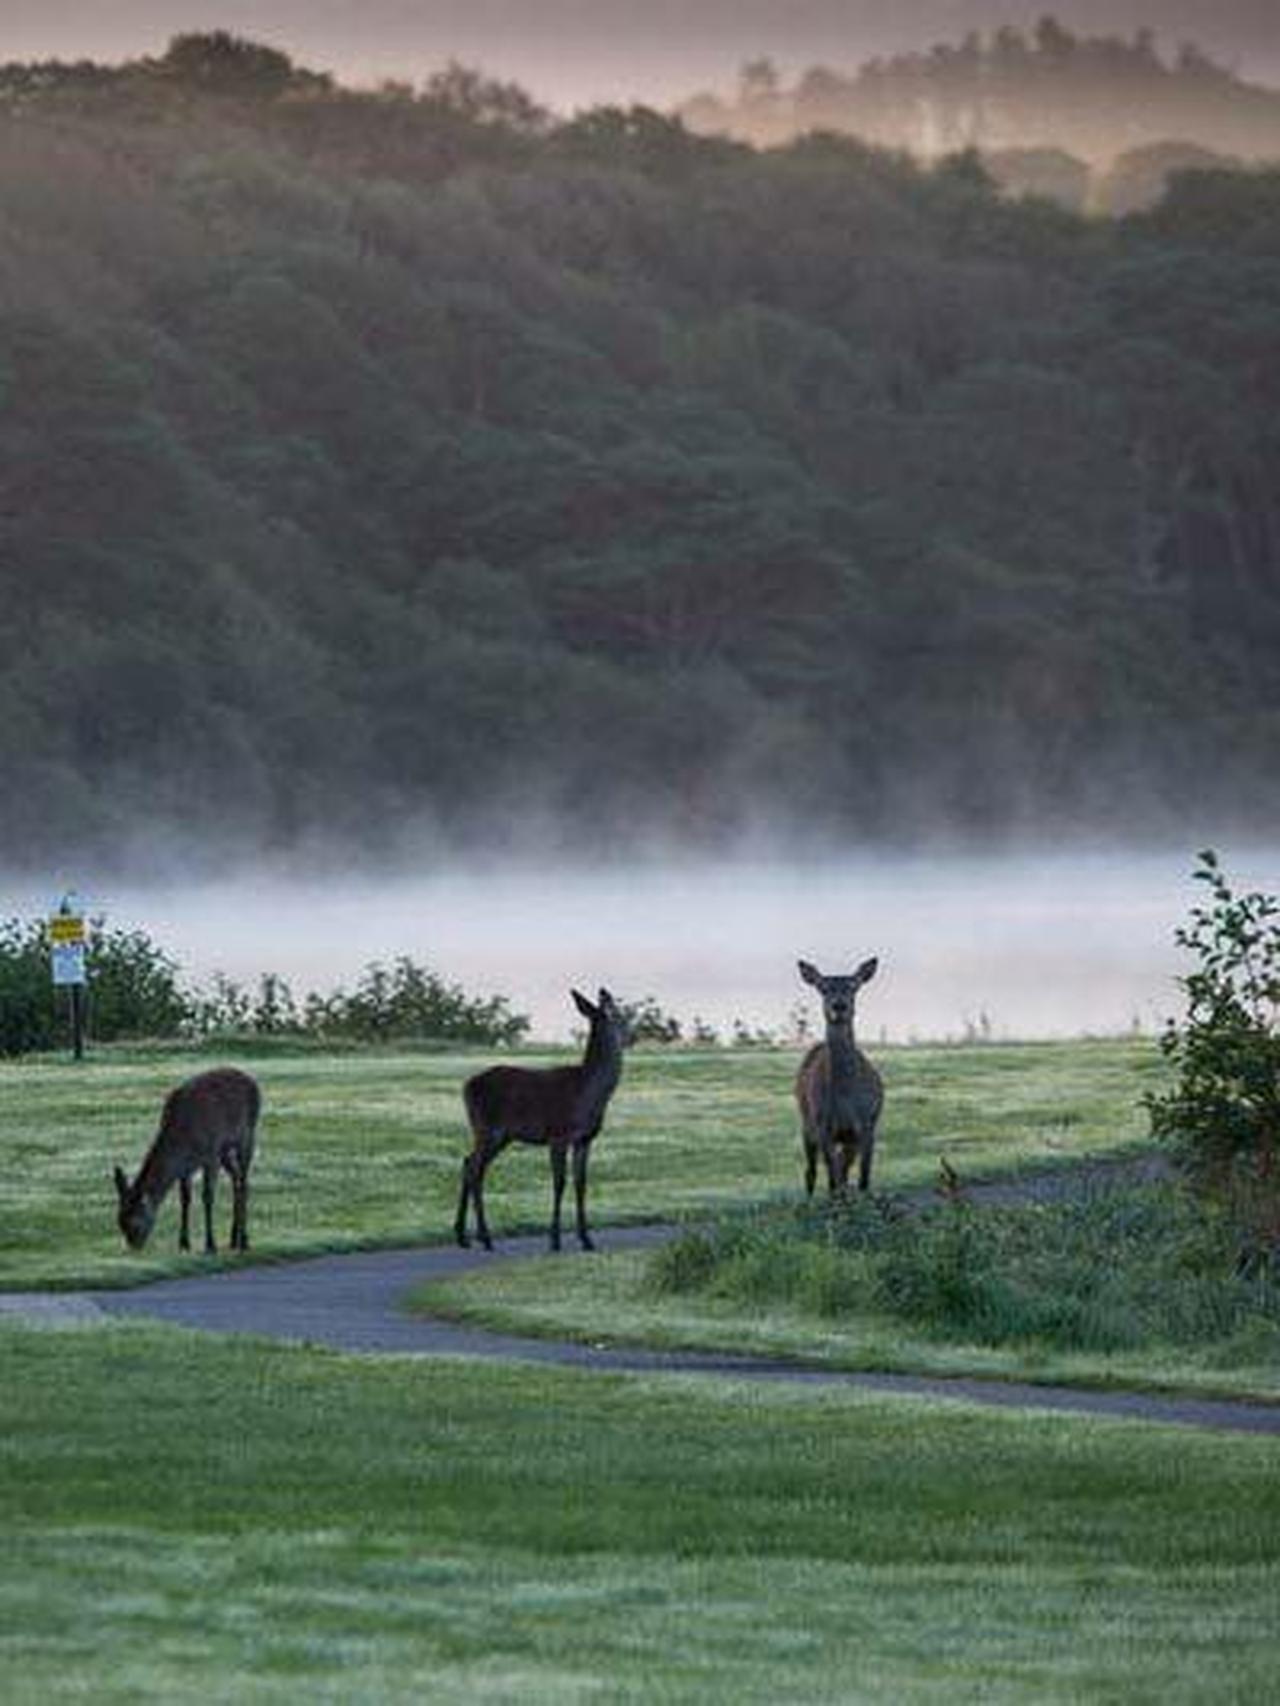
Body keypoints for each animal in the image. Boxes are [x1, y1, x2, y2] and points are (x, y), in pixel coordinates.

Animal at [112, 1064, 261, 1255]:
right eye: (119, 1221)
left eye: (134, 1223)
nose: (134, 1247)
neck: (182, 1142)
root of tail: (252, 1081)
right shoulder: (187, 1166)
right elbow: (185, 1198)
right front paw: (183, 1243)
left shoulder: (210, 1153)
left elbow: (207, 1196)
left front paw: (210, 1245)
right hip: (224, 1150)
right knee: (236, 1179)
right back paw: (233, 1238)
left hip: (247, 1134)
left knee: (244, 1182)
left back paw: (244, 1241)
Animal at [457, 989, 628, 1255]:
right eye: (616, 1012)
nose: (631, 1031)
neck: (589, 1093)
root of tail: (466, 1086)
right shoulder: (558, 1134)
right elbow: (559, 1183)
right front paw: (555, 1240)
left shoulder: (585, 1139)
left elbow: (581, 1184)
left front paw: (586, 1239)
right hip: (487, 1128)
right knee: (475, 1169)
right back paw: (484, 1238)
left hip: (499, 1135)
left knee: (469, 1163)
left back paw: (464, 1237)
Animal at [798, 962, 887, 1201]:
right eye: (823, 988)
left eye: (853, 986)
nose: (839, 1006)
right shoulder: (823, 1126)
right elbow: (832, 1178)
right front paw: (837, 1202)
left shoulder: (868, 1124)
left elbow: (863, 1177)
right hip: (806, 1121)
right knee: (812, 1170)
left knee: (842, 1168)